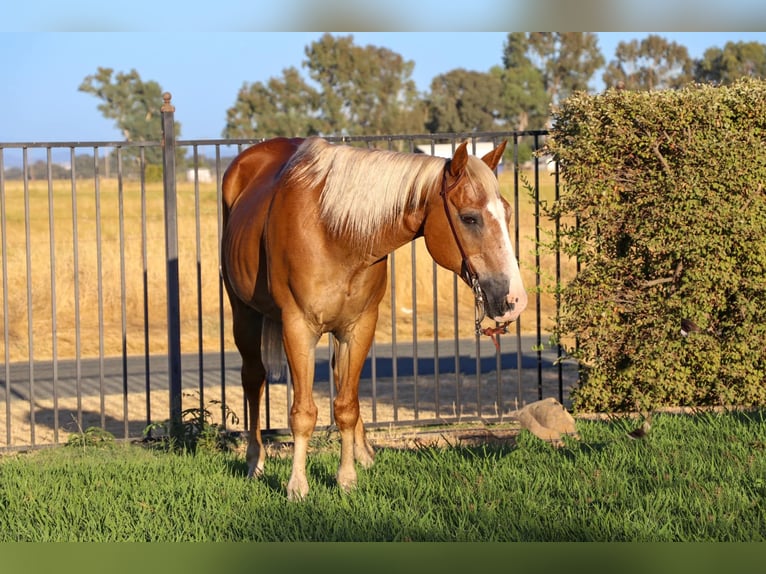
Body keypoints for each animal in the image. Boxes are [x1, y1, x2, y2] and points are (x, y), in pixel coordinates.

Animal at [221, 136, 527, 499]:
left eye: (507, 212)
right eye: (469, 218)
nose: (515, 299)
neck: (335, 232)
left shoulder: (360, 327)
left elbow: (347, 406)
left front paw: (347, 477)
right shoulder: (298, 327)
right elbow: (303, 413)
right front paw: (297, 486)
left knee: (340, 380)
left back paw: (363, 451)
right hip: (245, 316)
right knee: (253, 378)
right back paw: (255, 461)